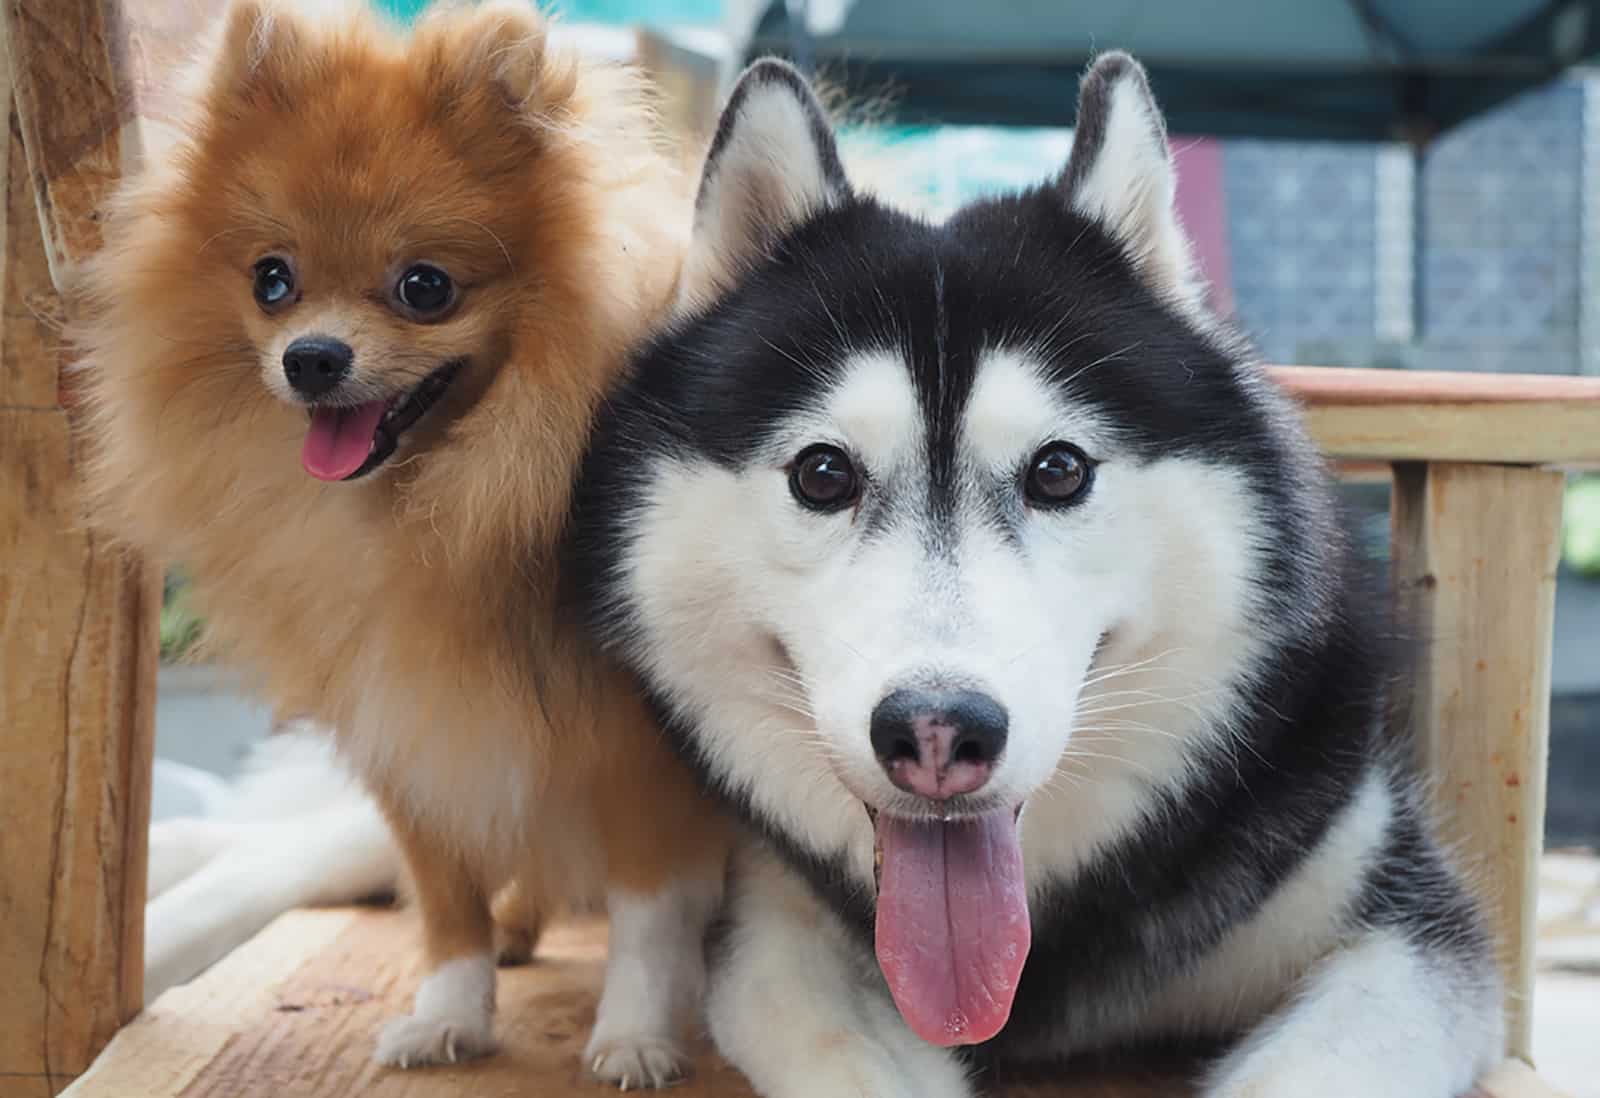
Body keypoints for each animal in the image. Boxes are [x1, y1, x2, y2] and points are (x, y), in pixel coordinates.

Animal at [70, 0, 732, 1081]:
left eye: (426, 287)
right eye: (273, 281)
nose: (311, 357)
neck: (443, 509)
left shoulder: (638, 763)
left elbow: (645, 919)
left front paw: (632, 1035)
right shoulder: (416, 737)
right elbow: (446, 905)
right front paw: (451, 1012)